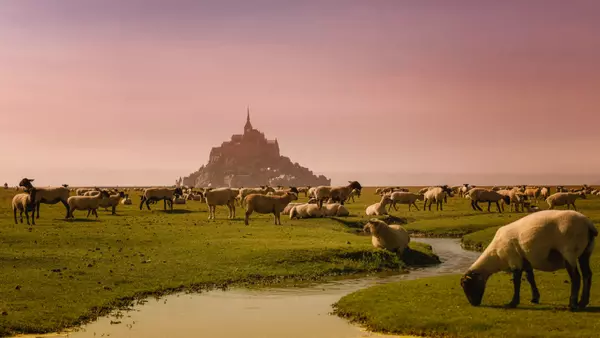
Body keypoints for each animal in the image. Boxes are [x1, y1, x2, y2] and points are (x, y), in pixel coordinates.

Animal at [460, 210, 596, 310]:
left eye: (466, 284)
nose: (474, 304)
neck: (496, 256)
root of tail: (588, 224)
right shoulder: (525, 261)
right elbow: (530, 278)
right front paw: (535, 298)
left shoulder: (514, 259)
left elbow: (516, 281)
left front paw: (512, 303)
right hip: (586, 251)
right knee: (587, 274)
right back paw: (583, 302)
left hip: (569, 251)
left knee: (576, 277)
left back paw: (572, 304)